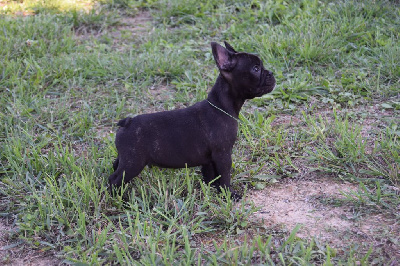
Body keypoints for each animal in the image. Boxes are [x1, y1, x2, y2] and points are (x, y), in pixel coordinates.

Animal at [111, 41, 276, 200]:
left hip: (126, 158)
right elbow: (225, 176)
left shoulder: (209, 160)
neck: (220, 106)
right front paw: (229, 194)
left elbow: (211, 176)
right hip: (134, 162)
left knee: (115, 166)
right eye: (256, 68)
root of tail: (127, 122)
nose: (271, 73)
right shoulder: (223, 155)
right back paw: (119, 198)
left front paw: (213, 190)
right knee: (114, 179)